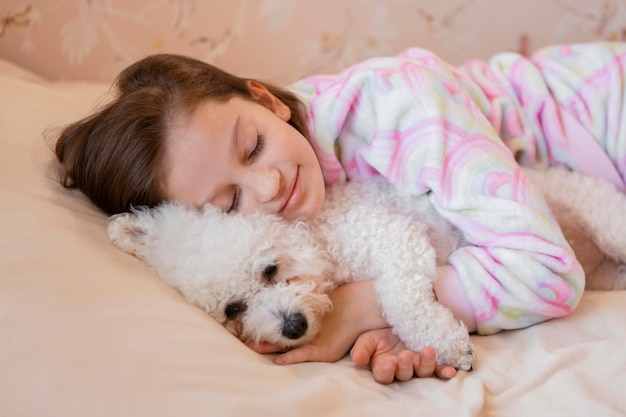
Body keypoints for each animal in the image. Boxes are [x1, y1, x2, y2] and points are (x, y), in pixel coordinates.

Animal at [105, 166, 624, 370]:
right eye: (233, 309)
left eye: (270, 270)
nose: (293, 326)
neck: (321, 236)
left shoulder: (394, 238)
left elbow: (404, 299)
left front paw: (448, 345)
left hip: (603, 220)